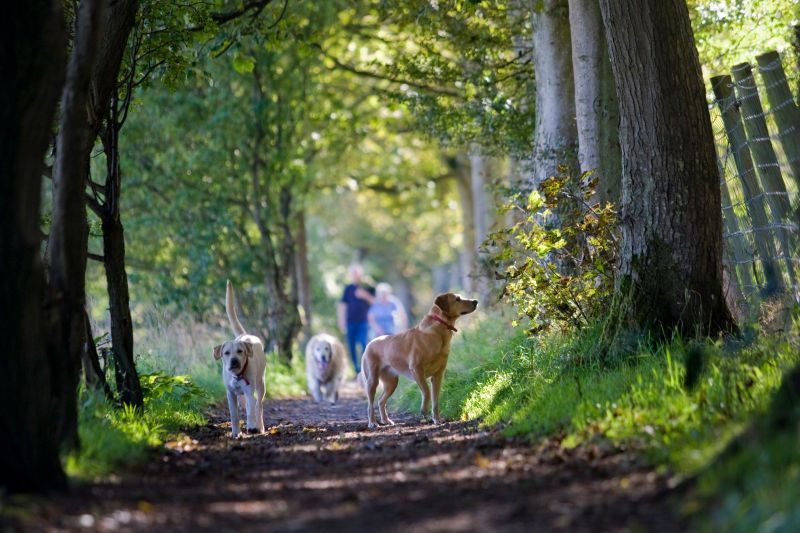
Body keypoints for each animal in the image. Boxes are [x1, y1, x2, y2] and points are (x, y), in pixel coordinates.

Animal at [214, 278, 268, 436]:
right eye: (226, 353)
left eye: (240, 351)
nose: (234, 361)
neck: (237, 375)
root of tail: (244, 335)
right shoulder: (230, 394)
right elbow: (234, 415)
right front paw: (235, 433)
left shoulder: (249, 391)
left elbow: (251, 410)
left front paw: (251, 427)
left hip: (261, 384)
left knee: (258, 405)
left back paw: (259, 426)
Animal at [360, 290, 476, 428]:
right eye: (458, 299)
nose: (476, 301)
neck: (439, 330)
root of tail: (370, 343)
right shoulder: (417, 370)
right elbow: (426, 392)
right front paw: (424, 410)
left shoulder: (438, 375)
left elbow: (436, 400)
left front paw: (437, 419)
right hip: (372, 380)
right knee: (370, 404)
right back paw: (372, 422)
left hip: (391, 382)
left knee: (380, 400)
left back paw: (386, 420)